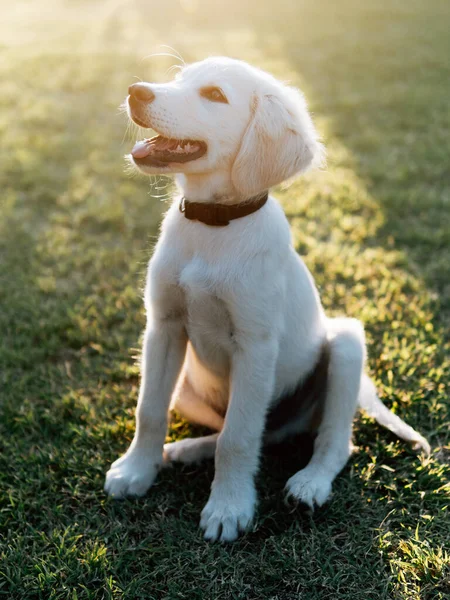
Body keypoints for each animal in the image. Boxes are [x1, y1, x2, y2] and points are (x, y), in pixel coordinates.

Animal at [103, 57, 430, 544]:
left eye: (215, 95)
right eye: (179, 79)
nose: (135, 91)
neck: (214, 226)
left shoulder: (254, 346)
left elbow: (238, 438)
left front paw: (228, 507)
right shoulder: (163, 326)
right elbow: (150, 411)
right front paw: (137, 471)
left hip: (346, 344)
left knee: (332, 440)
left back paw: (309, 484)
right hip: (189, 389)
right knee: (256, 433)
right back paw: (184, 450)